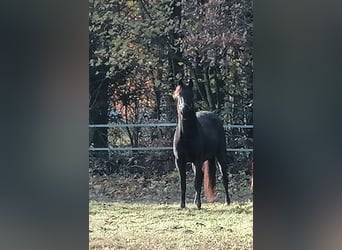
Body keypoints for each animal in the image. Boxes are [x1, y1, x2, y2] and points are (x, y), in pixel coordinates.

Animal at [172, 80, 231, 209]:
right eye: (179, 95)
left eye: (191, 95)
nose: (184, 110)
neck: (187, 136)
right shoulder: (180, 162)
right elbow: (183, 184)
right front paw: (182, 205)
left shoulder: (197, 160)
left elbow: (197, 183)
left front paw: (199, 205)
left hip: (220, 156)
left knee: (224, 177)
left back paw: (227, 201)